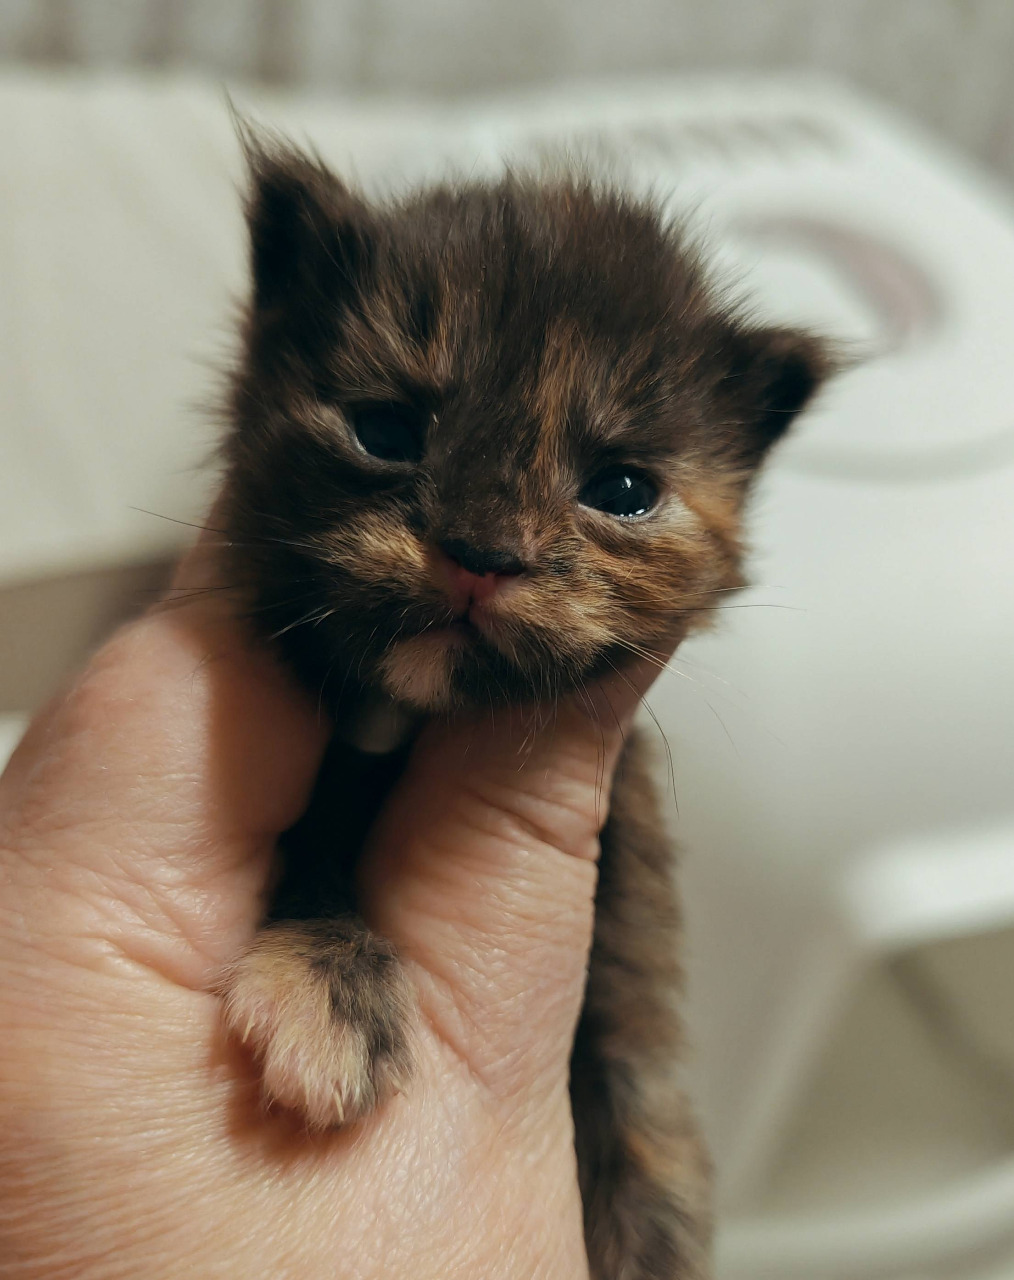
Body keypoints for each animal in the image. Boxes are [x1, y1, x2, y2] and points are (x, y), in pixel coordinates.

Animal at [215, 134, 831, 1280]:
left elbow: (636, 1080)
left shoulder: (631, 905)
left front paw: (651, 1224)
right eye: (384, 430)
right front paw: (328, 990)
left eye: (623, 489)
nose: (482, 556)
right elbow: (310, 847)